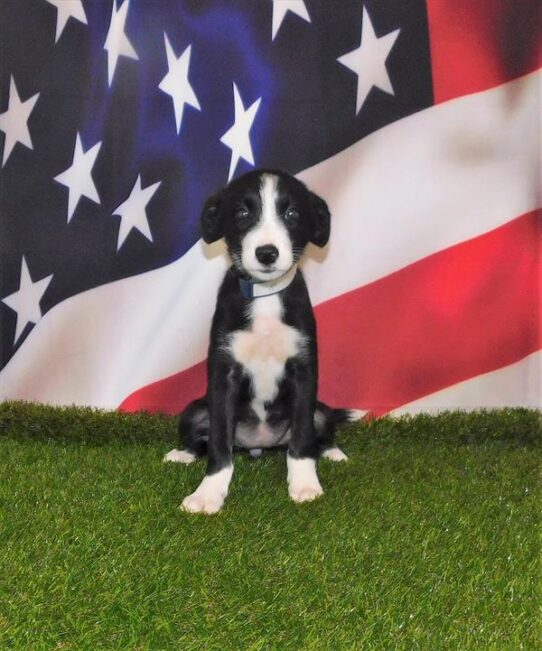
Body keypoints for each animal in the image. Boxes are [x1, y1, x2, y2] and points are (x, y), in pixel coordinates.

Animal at [165, 169, 362, 516]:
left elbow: (302, 438)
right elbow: (218, 442)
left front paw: (305, 484)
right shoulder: (224, 373)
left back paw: (333, 452)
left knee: (320, 431)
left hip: (321, 410)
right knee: (201, 438)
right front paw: (208, 493)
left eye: (292, 214)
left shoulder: (303, 370)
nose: (267, 253)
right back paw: (183, 454)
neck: (265, 296)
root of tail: (259, 444)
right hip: (193, 410)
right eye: (242, 213)